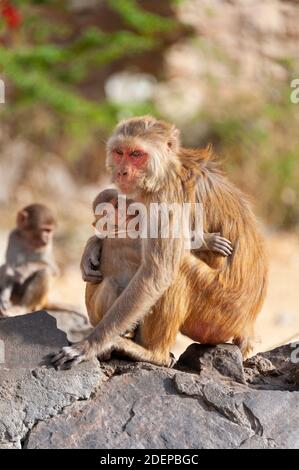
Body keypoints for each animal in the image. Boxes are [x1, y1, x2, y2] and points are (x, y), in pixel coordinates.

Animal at [82, 187, 234, 330]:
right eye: (108, 212)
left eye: (118, 204)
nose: (121, 214)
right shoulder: (130, 238)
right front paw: (207, 241)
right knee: (112, 284)